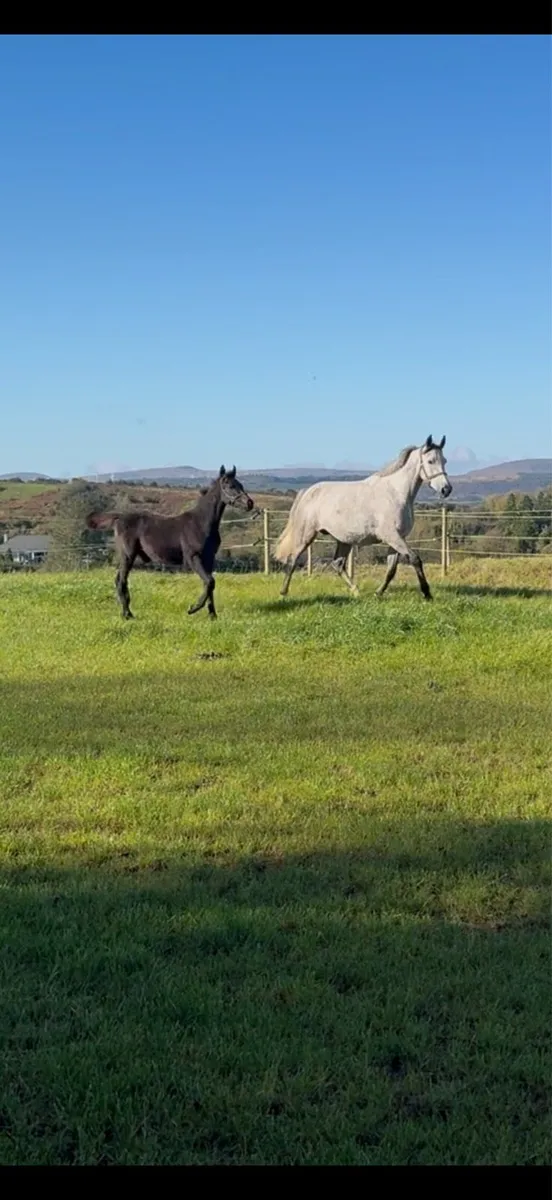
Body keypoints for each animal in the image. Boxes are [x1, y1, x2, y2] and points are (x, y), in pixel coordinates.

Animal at [86, 465, 254, 620]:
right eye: (230, 486)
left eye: (241, 485)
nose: (249, 503)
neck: (201, 523)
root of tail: (119, 517)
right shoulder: (193, 557)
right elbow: (209, 581)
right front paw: (193, 608)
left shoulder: (209, 558)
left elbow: (209, 584)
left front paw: (212, 615)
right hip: (128, 555)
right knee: (121, 580)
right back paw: (128, 614)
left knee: (119, 580)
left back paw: (126, 612)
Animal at [274, 435, 452, 601]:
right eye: (430, 461)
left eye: (444, 460)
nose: (446, 489)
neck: (395, 493)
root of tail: (307, 492)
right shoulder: (391, 536)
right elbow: (415, 559)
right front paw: (427, 593)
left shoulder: (397, 539)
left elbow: (391, 570)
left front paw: (378, 593)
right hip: (306, 535)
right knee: (293, 559)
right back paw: (283, 593)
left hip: (344, 540)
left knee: (338, 564)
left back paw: (356, 591)